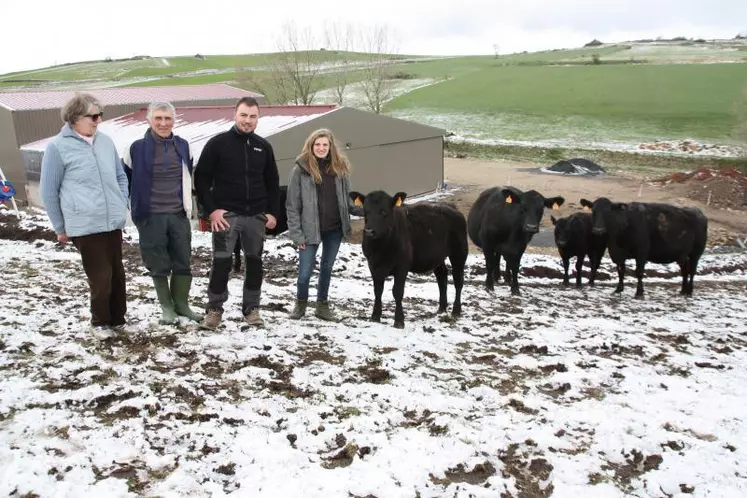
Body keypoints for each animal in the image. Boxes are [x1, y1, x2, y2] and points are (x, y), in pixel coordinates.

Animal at [350, 191, 468, 330]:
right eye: (365, 211)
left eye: (384, 211)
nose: (369, 231)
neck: (380, 249)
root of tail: (451, 207)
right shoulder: (373, 265)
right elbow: (377, 290)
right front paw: (375, 317)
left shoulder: (402, 266)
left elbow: (397, 292)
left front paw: (399, 321)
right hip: (437, 256)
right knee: (442, 276)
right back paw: (441, 308)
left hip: (459, 253)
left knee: (458, 280)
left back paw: (456, 310)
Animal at [580, 197, 712, 300]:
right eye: (593, 211)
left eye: (608, 212)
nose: (598, 230)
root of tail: (699, 212)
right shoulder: (618, 253)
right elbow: (621, 270)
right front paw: (618, 289)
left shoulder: (641, 252)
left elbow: (639, 272)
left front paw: (639, 293)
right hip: (682, 255)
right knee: (684, 271)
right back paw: (683, 290)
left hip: (696, 253)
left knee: (692, 271)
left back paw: (689, 291)